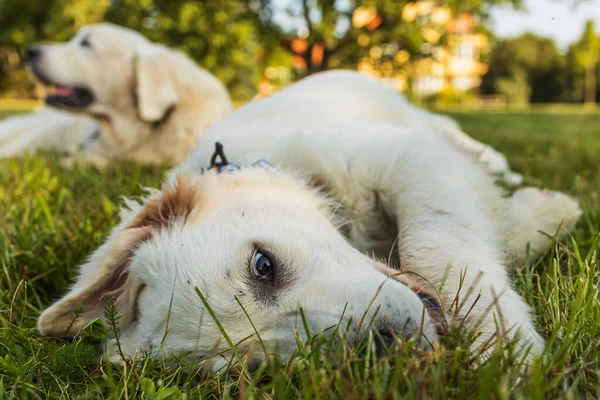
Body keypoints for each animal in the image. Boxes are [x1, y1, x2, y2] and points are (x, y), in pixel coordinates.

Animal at [37, 70, 580, 370]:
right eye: (249, 368)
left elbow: (436, 246)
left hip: (422, 120)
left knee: (469, 146)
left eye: (263, 265)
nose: (385, 350)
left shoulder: (406, 157)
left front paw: (506, 355)